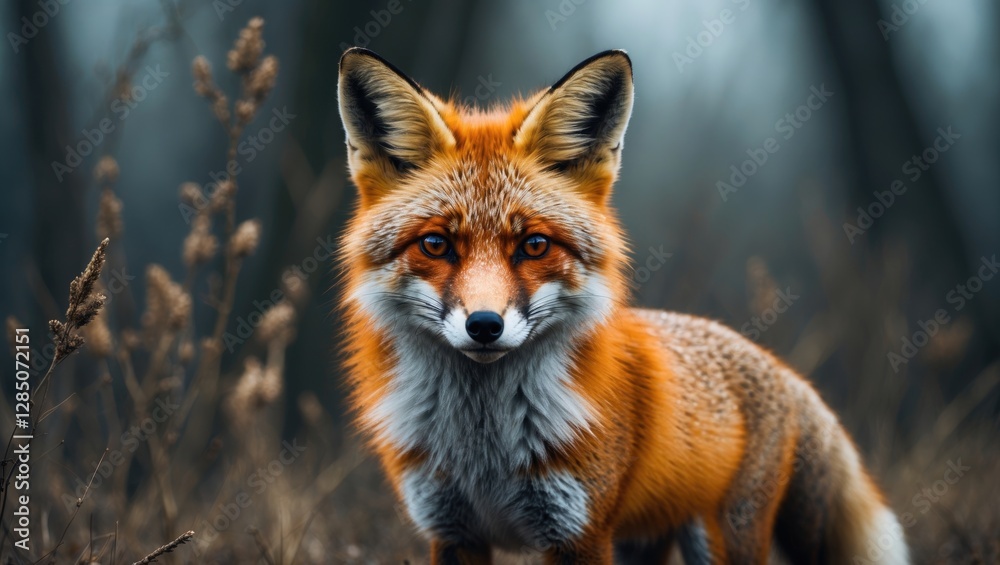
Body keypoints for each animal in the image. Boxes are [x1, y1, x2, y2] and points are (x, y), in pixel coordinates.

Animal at [335, 47, 910, 564]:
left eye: (534, 245)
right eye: (436, 245)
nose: (484, 325)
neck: (485, 452)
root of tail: (781, 368)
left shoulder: (579, 532)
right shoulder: (452, 531)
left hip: (721, 541)